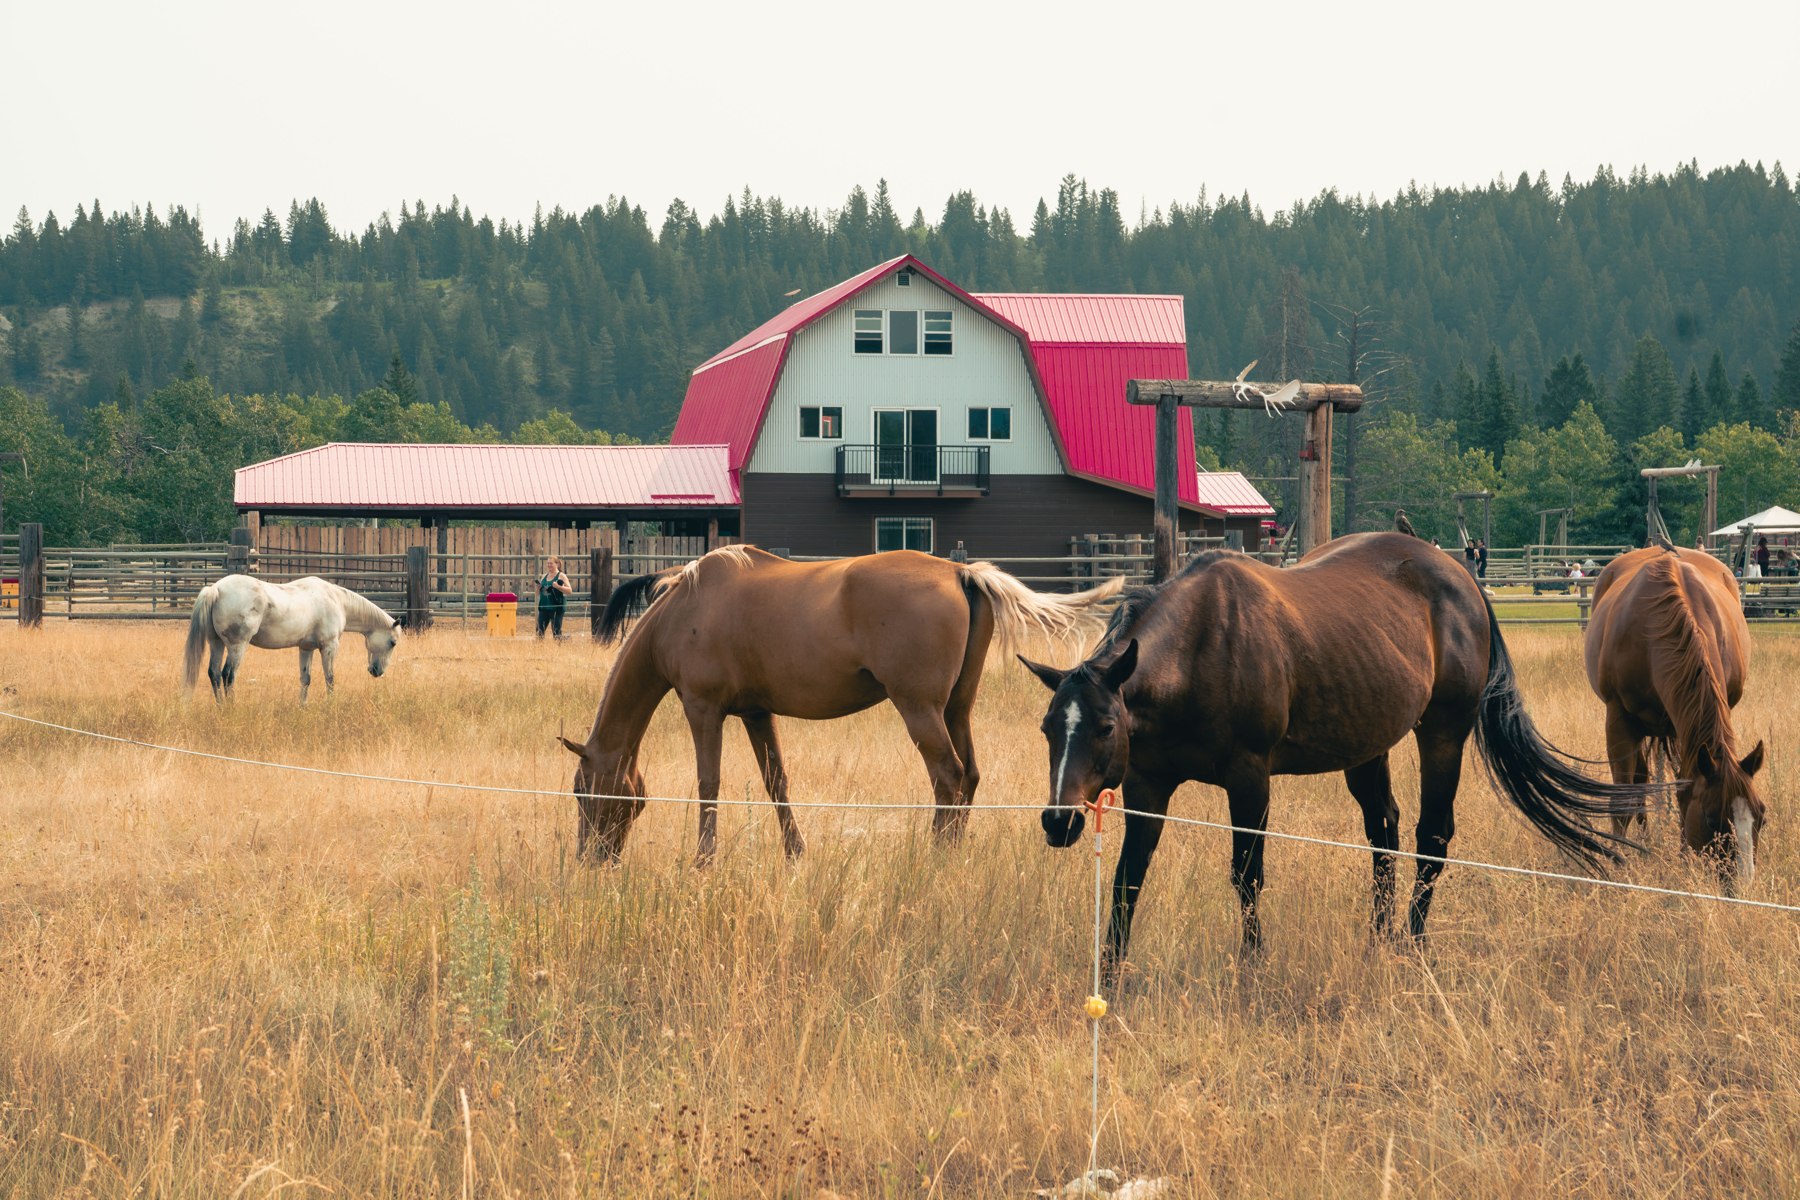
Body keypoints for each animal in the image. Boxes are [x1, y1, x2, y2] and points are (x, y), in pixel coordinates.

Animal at [183, 575, 401, 703]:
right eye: (393, 643)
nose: (377, 671)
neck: (336, 600)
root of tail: (216, 589)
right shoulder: (329, 647)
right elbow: (330, 679)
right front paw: (331, 706)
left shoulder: (306, 648)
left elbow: (305, 679)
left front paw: (302, 707)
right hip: (237, 647)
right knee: (228, 676)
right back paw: (231, 709)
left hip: (217, 644)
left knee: (214, 674)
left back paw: (220, 707)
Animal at [559, 545, 1122, 863]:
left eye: (583, 793)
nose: (590, 859)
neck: (685, 608)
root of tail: (960, 572)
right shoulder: (756, 714)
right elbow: (776, 782)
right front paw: (795, 853)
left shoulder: (703, 709)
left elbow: (708, 785)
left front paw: (703, 861)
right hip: (956, 709)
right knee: (970, 776)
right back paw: (956, 852)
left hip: (919, 709)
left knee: (949, 776)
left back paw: (937, 857)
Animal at [1019, 531, 1655, 980]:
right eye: (1048, 728)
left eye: (1105, 726)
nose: (1057, 821)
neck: (1202, 647)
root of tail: (1461, 576)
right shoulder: (1147, 785)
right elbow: (1128, 878)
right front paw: (1110, 974)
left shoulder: (1250, 780)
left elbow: (1247, 876)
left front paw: (1253, 965)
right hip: (1366, 747)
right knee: (1384, 831)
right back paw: (1378, 941)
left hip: (1442, 734)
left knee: (1431, 837)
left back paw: (1412, 946)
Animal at [1584, 546, 1765, 888]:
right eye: (1712, 819)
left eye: (1761, 816)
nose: (1743, 884)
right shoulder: (1619, 720)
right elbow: (1623, 800)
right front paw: (1620, 861)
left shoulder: (1688, 728)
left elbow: (1684, 790)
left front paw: (1684, 860)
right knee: (1639, 782)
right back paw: (1641, 846)